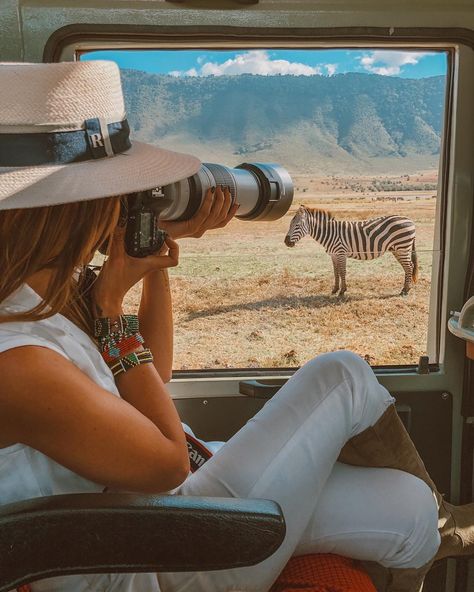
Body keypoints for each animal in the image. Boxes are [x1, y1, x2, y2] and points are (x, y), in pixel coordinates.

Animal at [284, 207, 416, 296]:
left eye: (297, 225)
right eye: (290, 224)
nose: (286, 242)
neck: (330, 233)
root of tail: (410, 220)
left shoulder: (341, 253)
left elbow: (342, 272)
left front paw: (342, 291)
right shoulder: (334, 255)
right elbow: (336, 272)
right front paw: (335, 289)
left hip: (402, 247)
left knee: (409, 266)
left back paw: (405, 291)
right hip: (398, 249)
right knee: (408, 266)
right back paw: (405, 289)